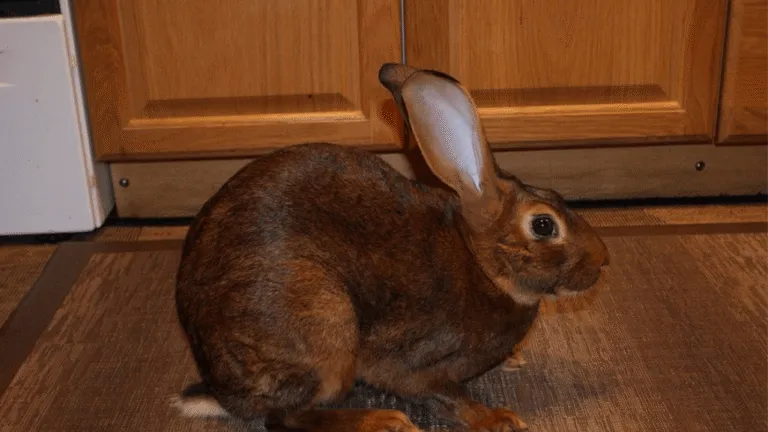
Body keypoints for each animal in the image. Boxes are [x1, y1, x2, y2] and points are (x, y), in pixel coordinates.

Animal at [171, 63, 610, 432]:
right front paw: (496, 418)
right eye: (543, 225)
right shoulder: (414, 361)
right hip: (325, 325)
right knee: (284, 416)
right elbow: (442, 394)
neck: (483, 265)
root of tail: (222, 392)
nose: (603, 260)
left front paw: (513, 360)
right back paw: (382, 421)